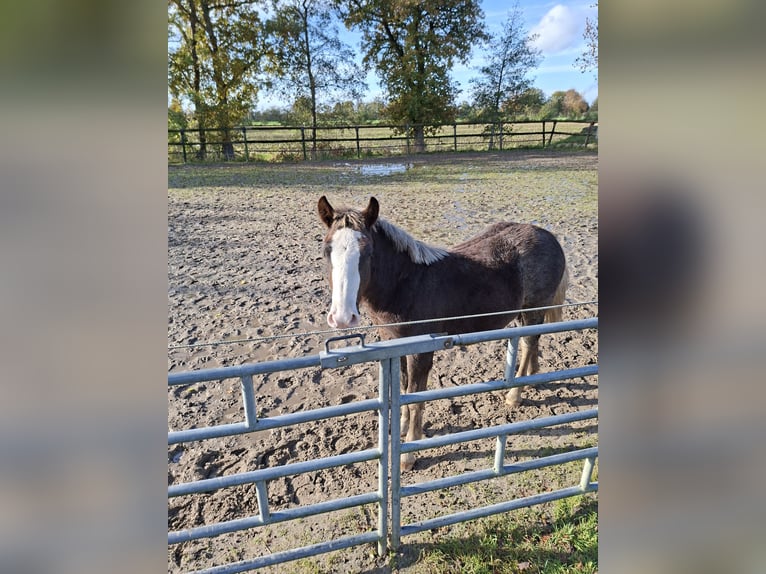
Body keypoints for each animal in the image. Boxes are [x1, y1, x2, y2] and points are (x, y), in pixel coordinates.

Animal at [317, 195, 568, 471]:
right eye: (326, 250)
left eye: (368, 251)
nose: (342, 317)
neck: (406, 286)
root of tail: (549, 236)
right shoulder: (394, 344)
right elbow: (404, 388)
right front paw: (401, 427)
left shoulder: (421, 352)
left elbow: (416, 398)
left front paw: (408, 455)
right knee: (530, 342)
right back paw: (532, 377)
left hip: (534, 309)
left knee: (529, 343)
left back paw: (514, 395)